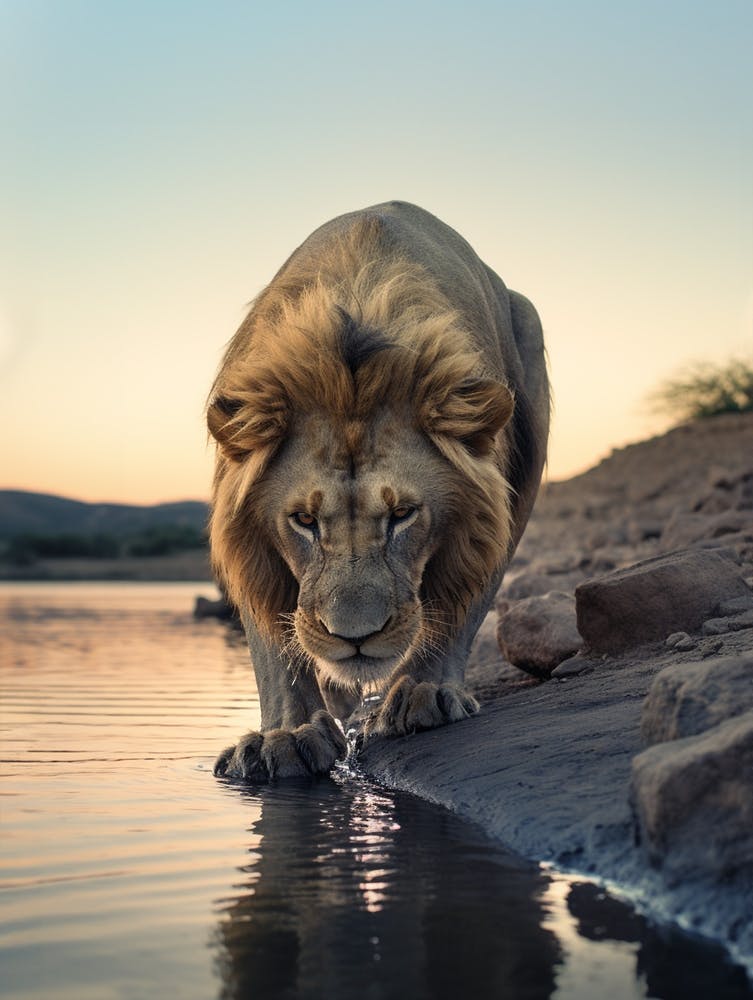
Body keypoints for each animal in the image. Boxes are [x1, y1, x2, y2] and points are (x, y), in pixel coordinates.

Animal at [208, 201, 549, 781]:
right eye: (304, 521)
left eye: (403, 514)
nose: (355, 638)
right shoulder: (248, 545)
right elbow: (272, 645)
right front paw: (287, 735)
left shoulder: (492, 513)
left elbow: (464, 604)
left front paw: (427, 691)